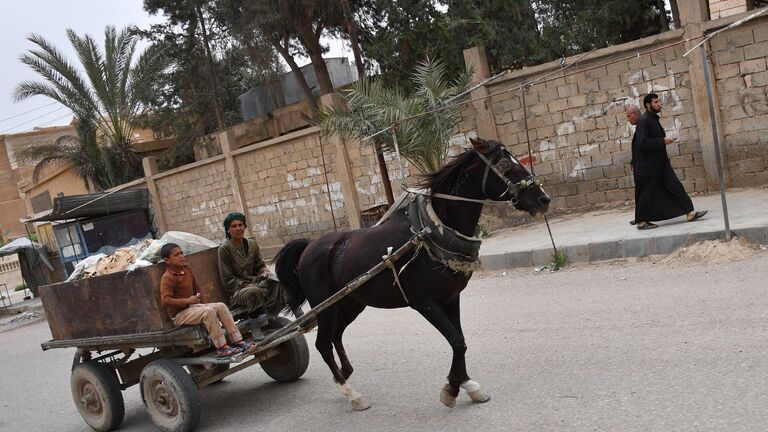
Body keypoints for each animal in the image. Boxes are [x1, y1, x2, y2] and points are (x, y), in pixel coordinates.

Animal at [272, 138, 548, 412]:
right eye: (507, 167)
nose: (544, 199)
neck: (431, 232)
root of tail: (310, 245)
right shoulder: (424, 303)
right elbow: (457, 341)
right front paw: (451, 389)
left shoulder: (451, 297)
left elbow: (459, 339)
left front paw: (467, 385)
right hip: (325, 306)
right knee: (322, 344)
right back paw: (351, 393)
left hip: (351, 303)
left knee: (335, 336)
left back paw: (345, 374)